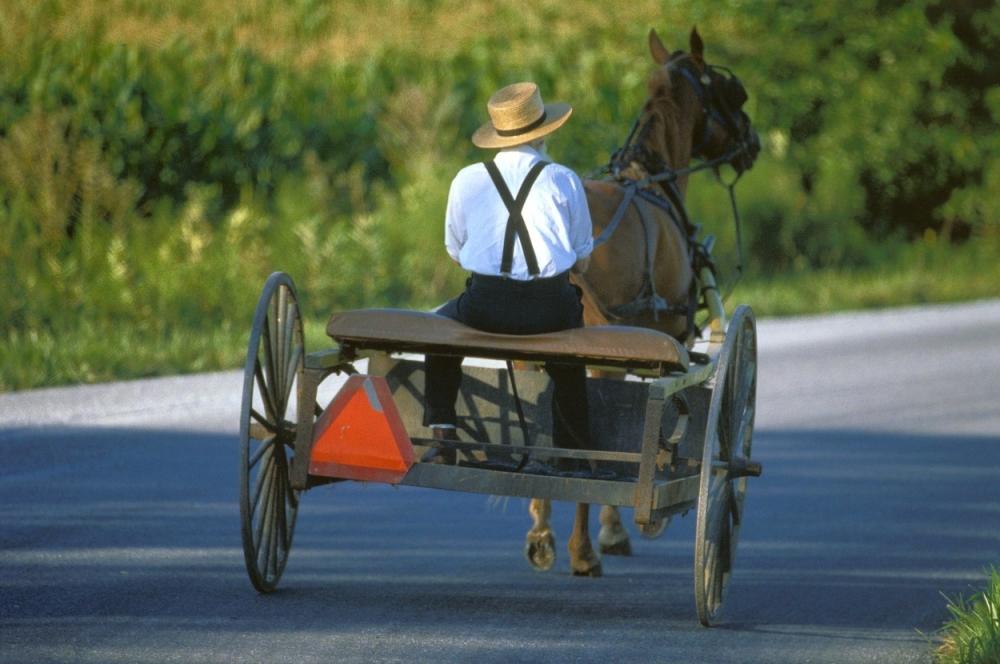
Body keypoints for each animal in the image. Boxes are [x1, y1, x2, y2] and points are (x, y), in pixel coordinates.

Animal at [524, 26, 756, 576]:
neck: (650, 178)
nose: (753, 143)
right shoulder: (656, 344)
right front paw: (613, 531)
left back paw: (541, 531)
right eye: (733, 93)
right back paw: (582, 550)